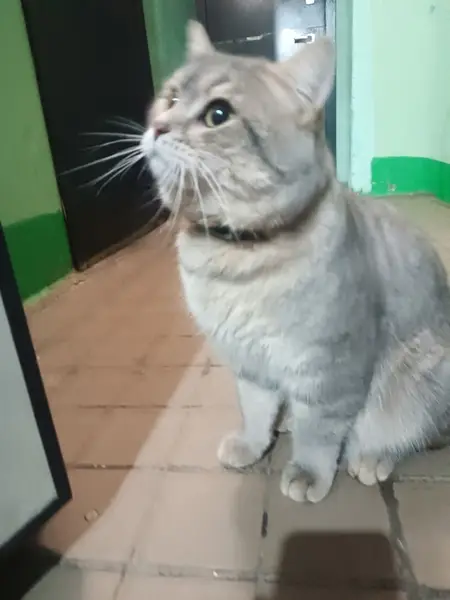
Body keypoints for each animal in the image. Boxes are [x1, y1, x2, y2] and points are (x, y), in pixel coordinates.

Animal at [140, 21, 450, 503]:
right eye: (170, 98)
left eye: (217, 114)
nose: (157, 126)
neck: (235, 259)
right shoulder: (248, 362)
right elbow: (254, 410)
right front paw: (253, 443)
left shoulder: (329, 369)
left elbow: (319, 433)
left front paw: (307, 471)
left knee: (409, 431)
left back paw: (372, 458)